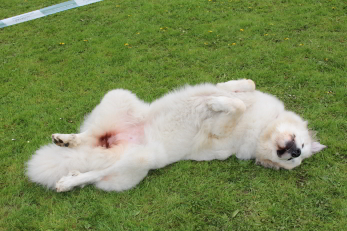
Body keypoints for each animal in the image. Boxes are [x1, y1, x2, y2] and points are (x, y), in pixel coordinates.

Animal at [26, 80, 326, 192]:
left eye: (294, 160)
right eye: (300, 145)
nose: (296, 152)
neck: (262, 127)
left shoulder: (221, 132)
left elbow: (234, 107)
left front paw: (217, 103)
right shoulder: (246, 96)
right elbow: (243, 88)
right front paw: (222, 94)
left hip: (138, 162)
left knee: (94, 174)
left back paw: (68, 180)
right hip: (118, 96)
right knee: (90, 135)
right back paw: (66, 140)